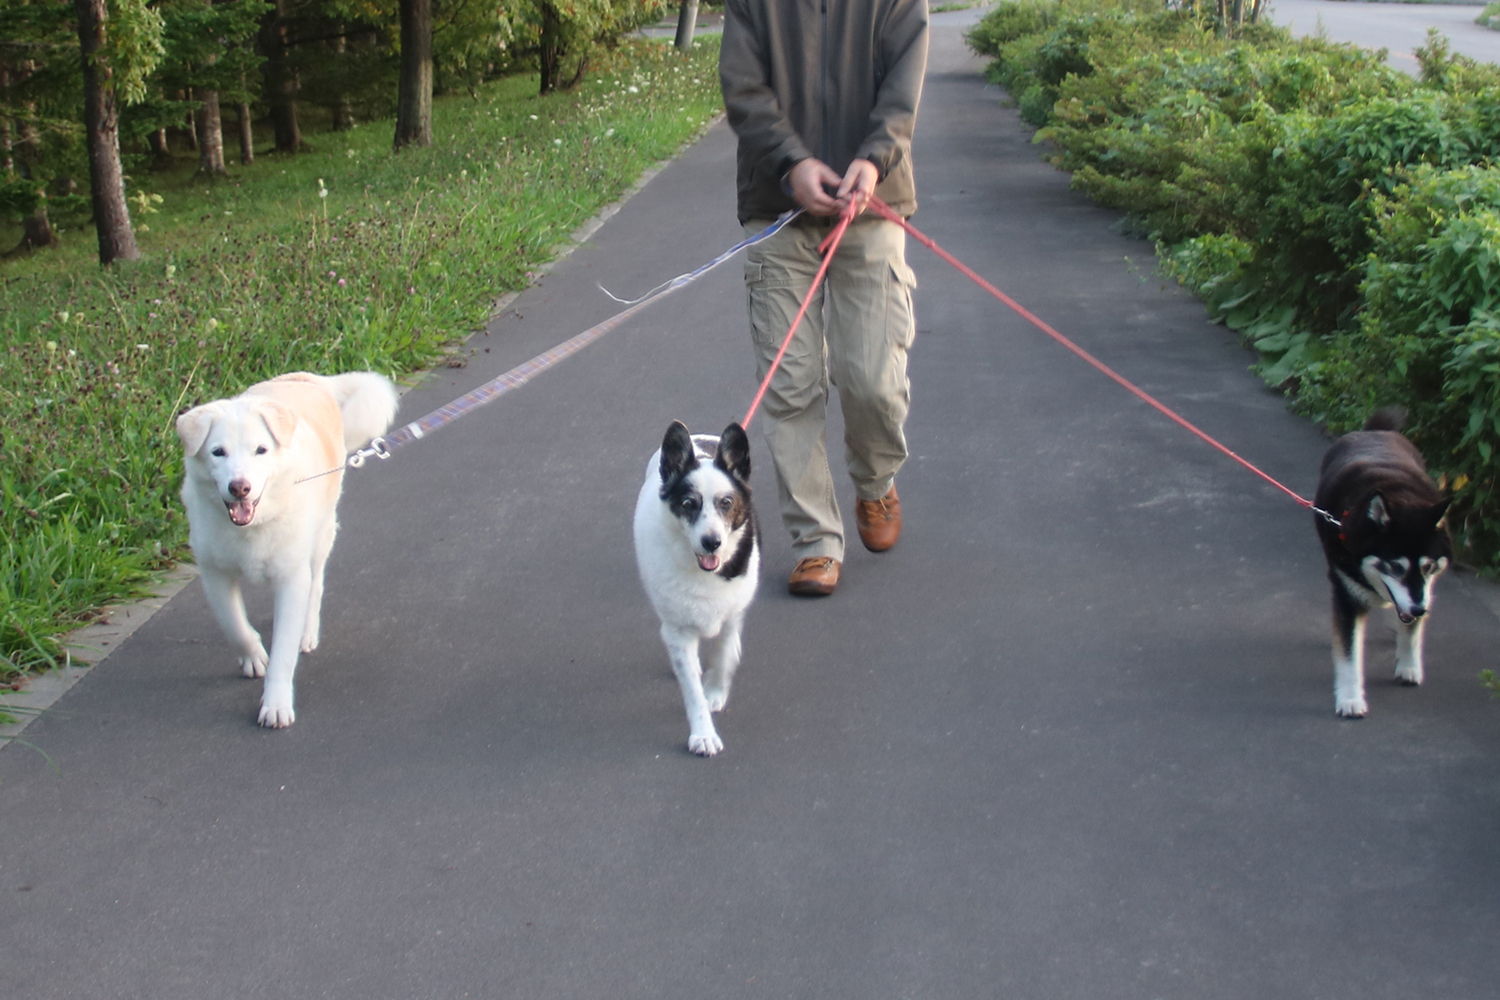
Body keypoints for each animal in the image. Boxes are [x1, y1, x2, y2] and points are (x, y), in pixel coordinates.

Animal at [177, 373, 399, 728]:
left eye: (261, 450)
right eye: (218, 452)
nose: (240, 487)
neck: (252, 527)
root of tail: (310, 378)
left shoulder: (290, 578)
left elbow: (284, 650)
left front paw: (276, 703)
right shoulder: (214, 574)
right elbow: (233, 624)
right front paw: (252, 655)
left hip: (321, 535)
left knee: (316, 585)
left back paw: (307, 632)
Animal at [630, 419, 756, 755]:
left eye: (726, 503)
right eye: (688, 504)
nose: (711, 542)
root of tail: (699, 437)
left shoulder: (733, 611)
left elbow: (724, 653)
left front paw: (715, 690)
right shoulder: (678, 630)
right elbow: (691, 690)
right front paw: (703, 733)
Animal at [1320, 410, 1446, 716]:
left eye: (1428, 566)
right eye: (1396, 566)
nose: (1420, 609)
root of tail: (1374, 431)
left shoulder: (1423, 592)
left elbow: (1411, 634)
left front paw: (1409, 666)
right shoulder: (1347, 593)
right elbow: (1349, 654)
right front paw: (1350, 698)